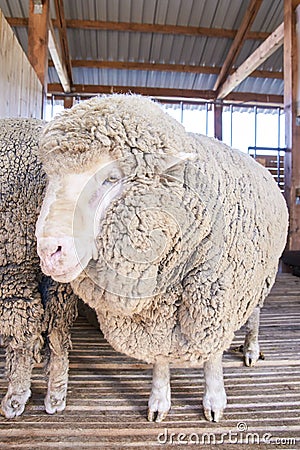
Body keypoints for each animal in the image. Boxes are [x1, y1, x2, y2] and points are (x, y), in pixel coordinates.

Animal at [35, 95, 288, 422]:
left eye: (111, 178)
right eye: (51, 177)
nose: (49, 251)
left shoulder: (214, 298)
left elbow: (212, 357)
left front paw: (214, 399)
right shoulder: (156, 310)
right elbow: (159, 356)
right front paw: (159, 399)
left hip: (259, 275)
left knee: (255, 312)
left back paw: (251, 348)